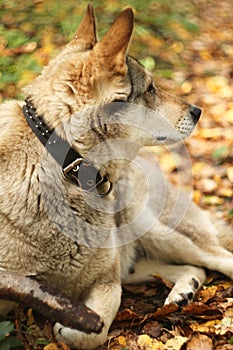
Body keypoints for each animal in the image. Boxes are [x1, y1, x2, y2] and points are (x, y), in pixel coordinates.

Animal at [0, 4, 233, 348]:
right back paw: (183, 292)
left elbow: (90, 331)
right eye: (150, 89)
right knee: (192, 268)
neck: (66, 166)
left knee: (219, 258)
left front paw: (68, 327)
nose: (197, 111)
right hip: (137, 256)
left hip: (157, 228)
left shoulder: (107, 280)